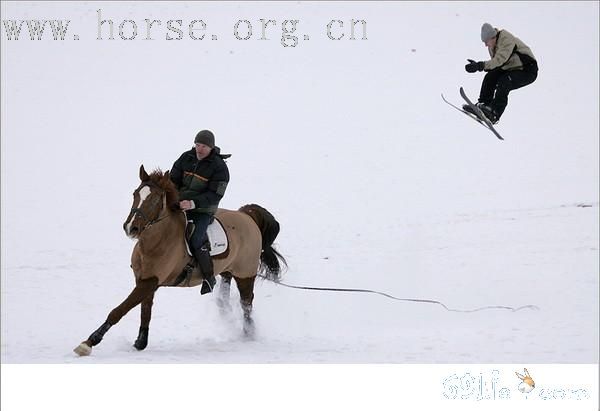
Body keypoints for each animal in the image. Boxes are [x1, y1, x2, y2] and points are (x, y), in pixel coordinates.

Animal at [74, 165, 286, 358]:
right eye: (135, 194)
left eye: (155, 199)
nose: (131, 228)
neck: (156, 241)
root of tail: (247, 215)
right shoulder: (146, 281)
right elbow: (145, 310)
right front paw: (141, 342)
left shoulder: (149, 282)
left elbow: (119, 310)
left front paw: (89, 342)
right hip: (228, 269)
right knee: (225, 294)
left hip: (245, 273)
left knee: (246, 303)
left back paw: (248, 333)